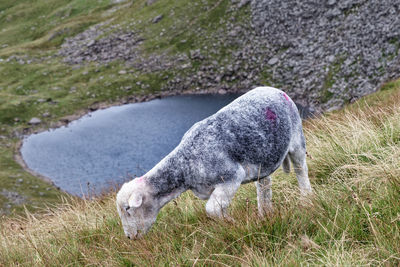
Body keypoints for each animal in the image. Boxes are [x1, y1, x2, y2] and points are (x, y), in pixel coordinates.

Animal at [115, 87, 312, 240]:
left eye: (128, 208)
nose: (129, 237)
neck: (184, 165)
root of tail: (274, 89)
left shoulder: (231, 177)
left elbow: (211, 209)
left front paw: (233, 223)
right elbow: (218, 209)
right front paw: (229, 221)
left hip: (297, 139)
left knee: (301, 170)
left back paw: (306, 199)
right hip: (264, 158)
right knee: (264, 186)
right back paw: (265, 213)